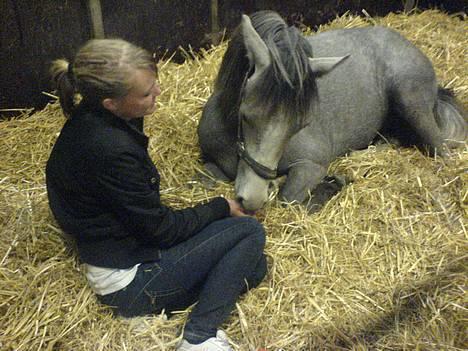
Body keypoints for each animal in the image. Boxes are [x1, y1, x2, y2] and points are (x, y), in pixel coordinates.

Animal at [198, 10, 468, 212]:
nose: (252, 198)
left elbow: (289, 197)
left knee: (441, 151)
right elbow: (206, 177)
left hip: (412, 102)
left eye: (299, 127)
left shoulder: (311, 165)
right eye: (245, 115)